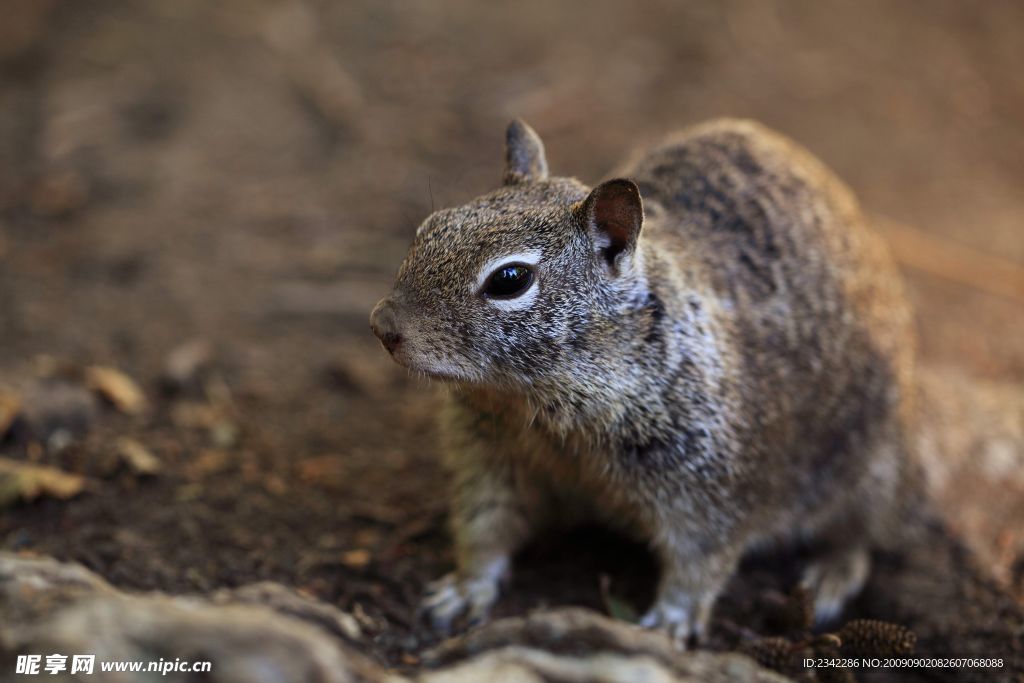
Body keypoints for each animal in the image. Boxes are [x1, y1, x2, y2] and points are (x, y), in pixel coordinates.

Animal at [368, 117, 921, 647]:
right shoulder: (487, 456)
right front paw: (466, 589)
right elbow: (484, 527)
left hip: (870, 470)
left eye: (510, 280)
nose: (382, 326)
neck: (539, 407)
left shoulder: (711, 489)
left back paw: (829, 576)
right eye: (429, 227)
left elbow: (700, 564)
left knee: (862, 535)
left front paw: (670, 623)